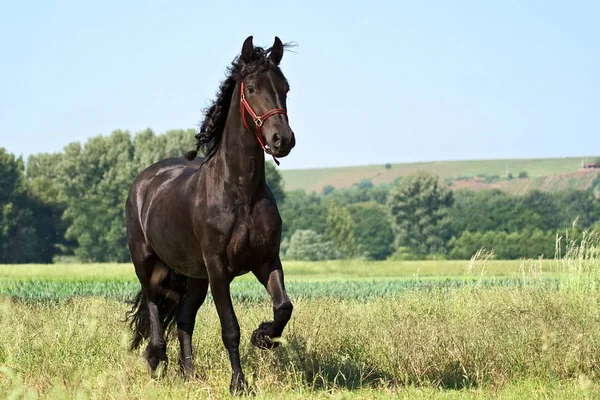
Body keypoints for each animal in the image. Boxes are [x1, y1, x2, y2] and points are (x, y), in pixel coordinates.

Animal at [125, 35, 298, 394]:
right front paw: (239, 384)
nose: (282, 140)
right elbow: (230, 327)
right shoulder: (218, 269)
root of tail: (144, 180)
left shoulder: (266, 260)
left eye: (285, 88)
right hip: (147, 262)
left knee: (183, 317)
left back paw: (188, 373)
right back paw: (156, 358)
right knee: (153, 301)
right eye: (251, 89)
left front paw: (263, 336)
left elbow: (283, 307)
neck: (240, 192)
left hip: (195, 276)